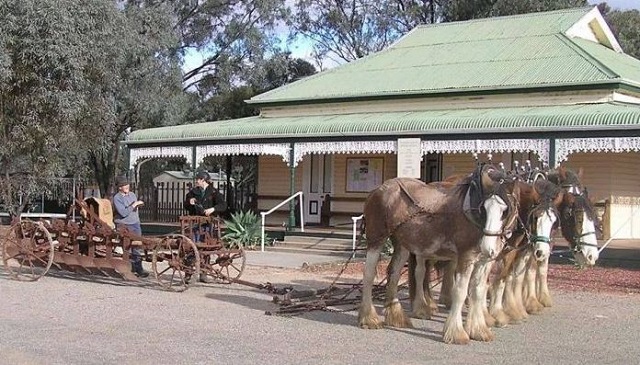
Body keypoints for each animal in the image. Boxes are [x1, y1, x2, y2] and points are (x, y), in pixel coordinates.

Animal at [360, 165, 520, 344]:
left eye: (505, 211)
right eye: (483, 208)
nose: (488, 247)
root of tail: (377, 190)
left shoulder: (484, 261)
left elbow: (478, 291)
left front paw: (479, 330)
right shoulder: (466, 257)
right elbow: (460, 292)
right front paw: (456, 332)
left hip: (402, 244)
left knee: (394, 274)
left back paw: (396, 316)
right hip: (376, 239)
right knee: (369, 274)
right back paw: (369, 318)